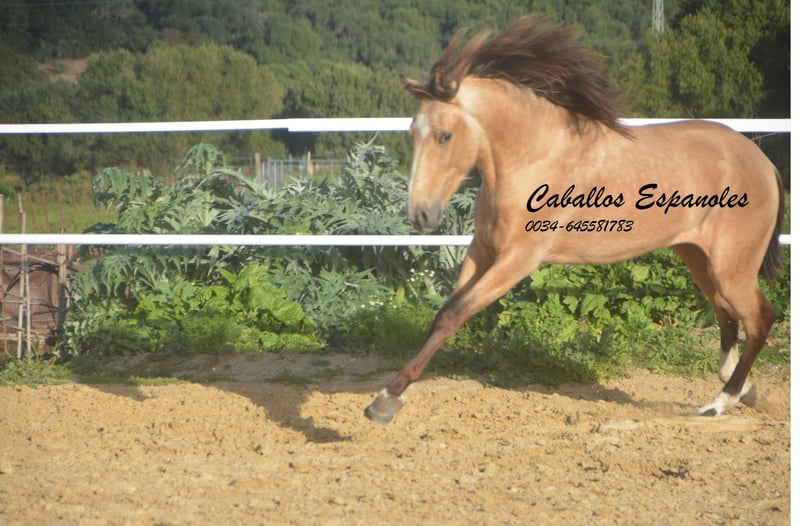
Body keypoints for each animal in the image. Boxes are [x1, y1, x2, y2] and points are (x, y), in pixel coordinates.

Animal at [364, 16, 784, 424]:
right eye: (412, 133)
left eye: (445, 136)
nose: (421, 214)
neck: (531, 158)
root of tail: (762, 161)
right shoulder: (481, 252)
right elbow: (442, 315)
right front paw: (387, 397)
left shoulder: (517, 260)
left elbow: (454, 314)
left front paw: (384, 400)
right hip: (699, 258)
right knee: (729, 319)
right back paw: (743, 391)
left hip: (731, 266)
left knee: (759, 318)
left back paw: (721, 401)